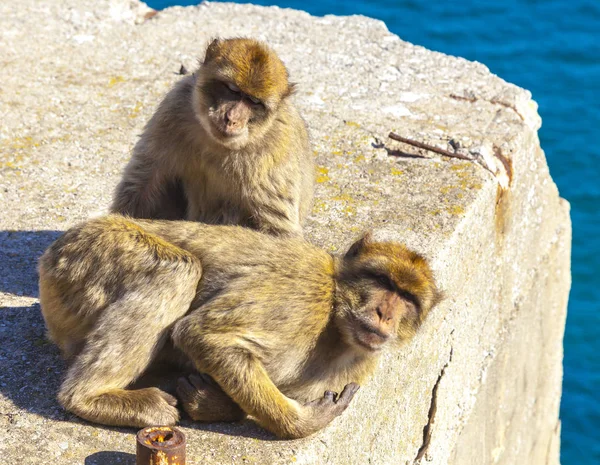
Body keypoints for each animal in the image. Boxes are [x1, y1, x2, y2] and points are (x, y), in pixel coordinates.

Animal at [37, 216, 440, 436]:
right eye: (382, 281)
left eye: (407, 298)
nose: (385, 313)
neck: (337, 329)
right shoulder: (304, 298)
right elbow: (201, 334)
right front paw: (302, 424)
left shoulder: (360, 365)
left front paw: (209, 402)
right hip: (88, 254)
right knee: (177, 270)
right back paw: (89, 398)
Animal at [111, 38, 314, 236]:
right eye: (232, 90)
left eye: (254, 101)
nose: (232, 118)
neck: (217, 143)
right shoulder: (173, 108)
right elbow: (142, 183)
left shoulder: (274, 149)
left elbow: (278, 230)